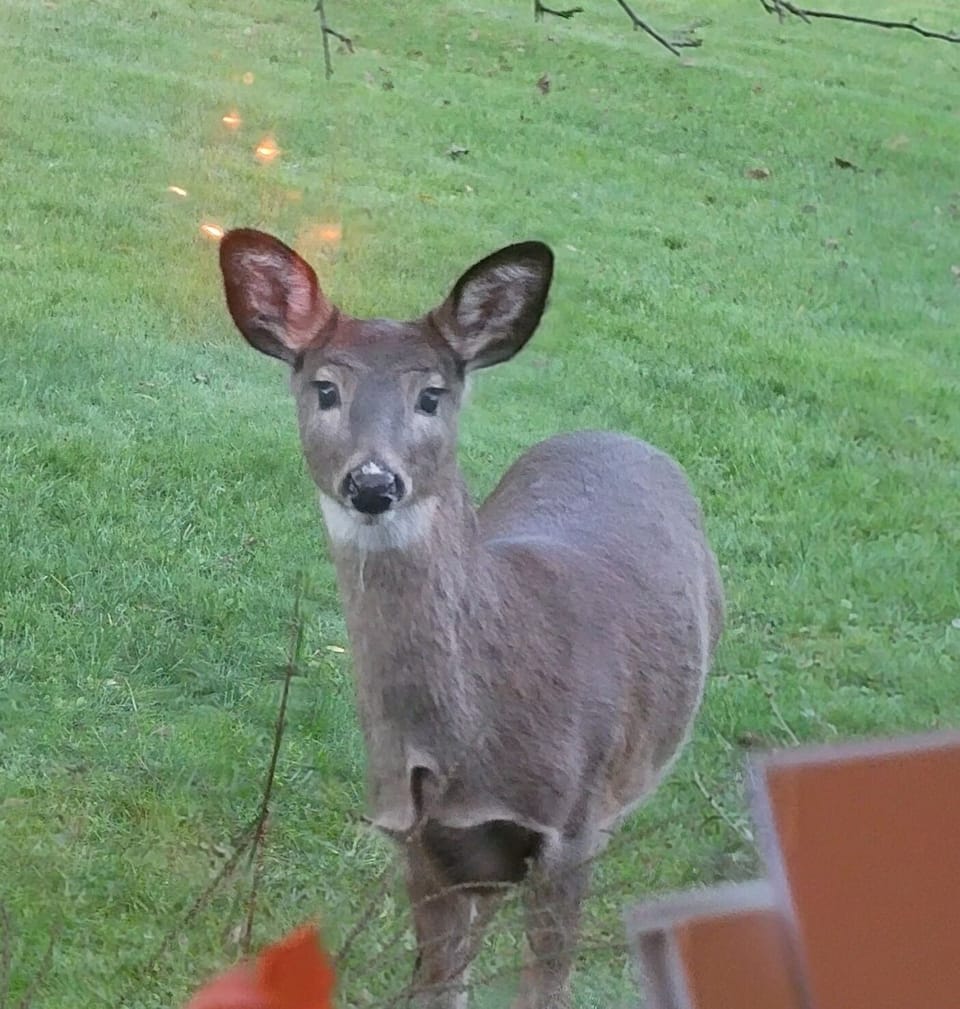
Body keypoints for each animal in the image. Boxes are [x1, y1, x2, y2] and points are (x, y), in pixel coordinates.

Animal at [217, 229, 724, 1009]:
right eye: (326, 389)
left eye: (432, 394)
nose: (373, 482)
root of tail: (616, 435)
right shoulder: (418, 836)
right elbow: (438, 985)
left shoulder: (571, 831)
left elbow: (547, 987)